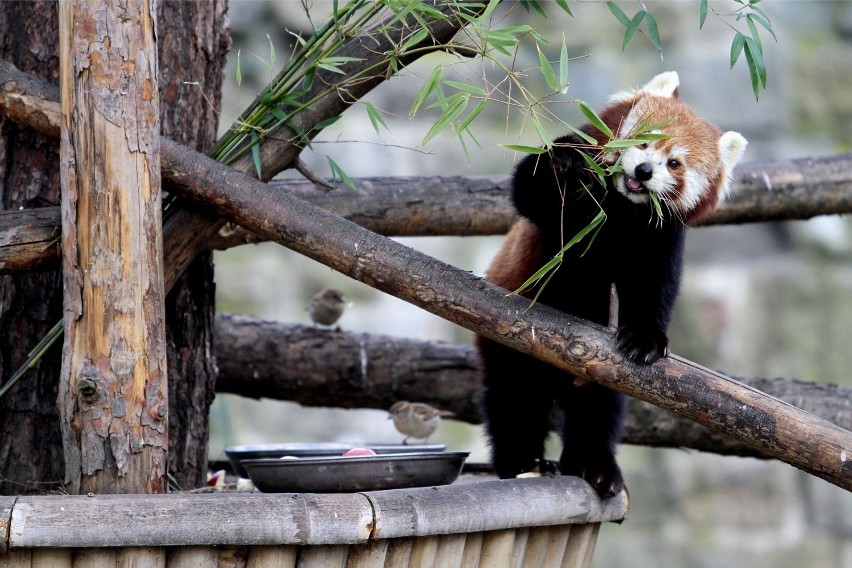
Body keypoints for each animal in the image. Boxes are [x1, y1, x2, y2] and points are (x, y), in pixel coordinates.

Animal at [476, 71, 748, 496]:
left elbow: (654, 290)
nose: (644, 172)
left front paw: (645, 339)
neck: (623, 209)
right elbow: (532, 188)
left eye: (674, 163)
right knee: (515, 399)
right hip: (508, 344)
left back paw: (594, 466)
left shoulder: (660, 239)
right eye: (644, 141)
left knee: (597, 411)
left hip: (598, 377)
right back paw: (522, 461)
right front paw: (565, 165)